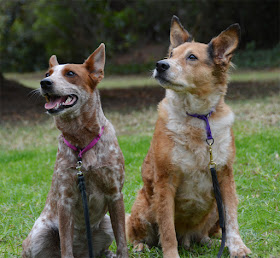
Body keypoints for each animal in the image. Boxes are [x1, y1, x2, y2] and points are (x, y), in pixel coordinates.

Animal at [22, 44, 129, 258]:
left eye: (70, 73)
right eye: (47, 73)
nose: (44, 83)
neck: (82, 141)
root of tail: (84, 252)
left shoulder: (115, 194)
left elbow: (122, 239)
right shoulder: (65, 200)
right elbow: (66, 245)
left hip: (105, 223)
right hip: (39, 233)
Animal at [127, 16, 252, 258]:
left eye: (192, 57)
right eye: (170, 54)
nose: (160, 65)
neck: (197, 118)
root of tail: (186, 237)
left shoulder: (225, 174)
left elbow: (232, 219)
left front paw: (237, 247)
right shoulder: (165, 180)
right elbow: (167, 230)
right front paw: (171, 255)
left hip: (214, 208)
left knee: (205, 233)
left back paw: (208, 241)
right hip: (144, 206)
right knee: (137, 233)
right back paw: (140, 246)